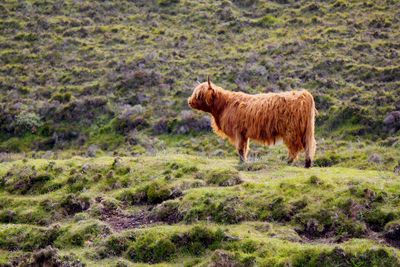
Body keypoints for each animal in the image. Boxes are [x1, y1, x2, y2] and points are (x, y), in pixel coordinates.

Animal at [189, 77, 318, 169]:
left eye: (199, 95)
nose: (189, 102)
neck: (224, 105)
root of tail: (304, 94)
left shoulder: (238, 132)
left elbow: (240, 149)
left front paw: (241, 163)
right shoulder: (244, 134)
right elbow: (244, 148)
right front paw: (243, 162)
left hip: (291, 131)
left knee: (295, 147)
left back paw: (289, 162)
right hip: (306, 130)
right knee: (308, 144)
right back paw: (307, 164)